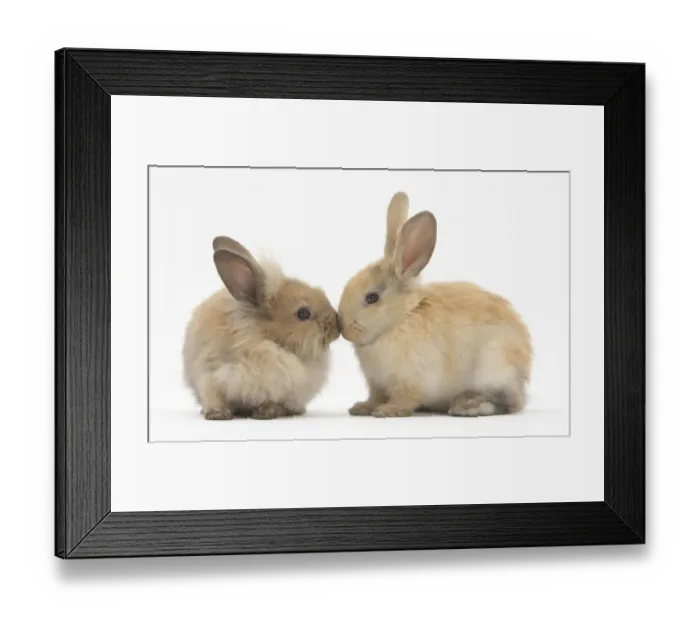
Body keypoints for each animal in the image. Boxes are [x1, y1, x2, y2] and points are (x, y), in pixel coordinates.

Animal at [183, 236, 340, 420]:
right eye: (303, 313)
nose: (337, 325)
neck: (264, 340)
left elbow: (274, 401)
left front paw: (267, 412)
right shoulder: (209, 375)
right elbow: (214, 397)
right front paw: (218, 414)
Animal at [338, 192, 533, 418]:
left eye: (372, 297)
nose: (343, 328)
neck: (401, 319)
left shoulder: (410, 380)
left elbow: (405, 398)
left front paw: (388, 411)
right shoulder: (376, 383)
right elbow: (375, 397)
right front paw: (362, 408)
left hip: (495, 369)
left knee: (509, 403)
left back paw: (468, 406)